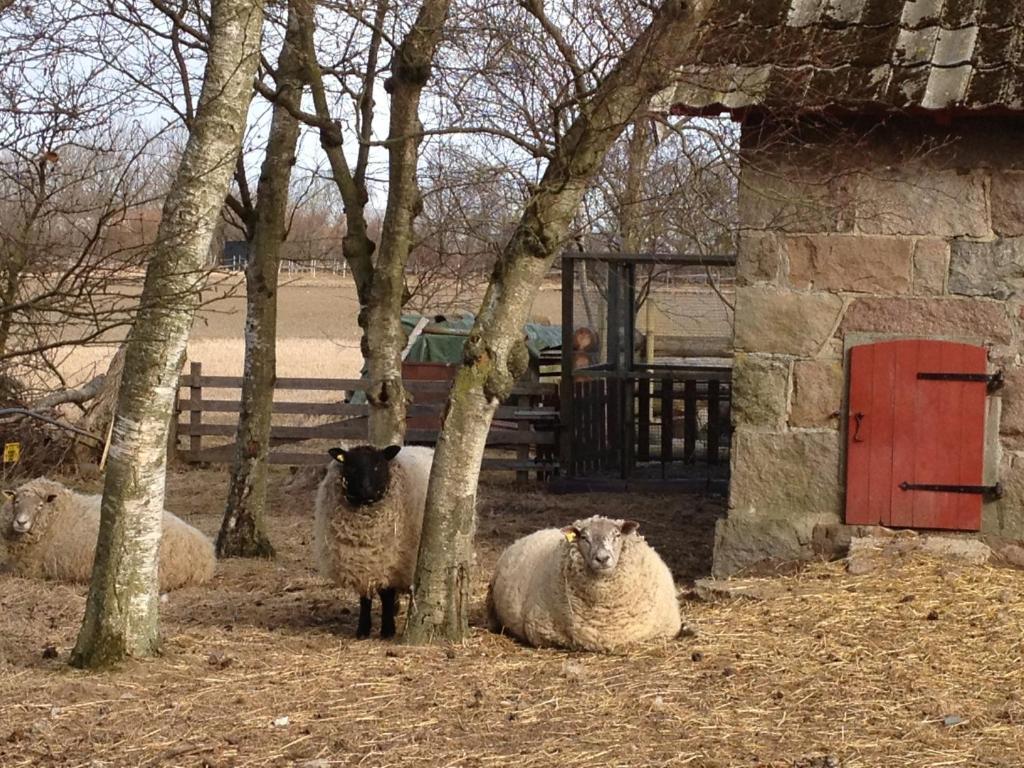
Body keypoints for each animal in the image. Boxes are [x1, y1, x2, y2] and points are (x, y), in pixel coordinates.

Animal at [0, 479, 214, 593]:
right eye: (16, 501)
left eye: (39, 505)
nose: (20, 522)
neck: (55, 517)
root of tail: (206, 551)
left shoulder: (28, 567)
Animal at [315, 442, 436, 638]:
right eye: (351, 466)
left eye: (378, 466)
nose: (366, 490)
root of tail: (426, 448)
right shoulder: (361, 564)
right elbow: (365, 597)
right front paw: (363, 629)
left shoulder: (390, 562)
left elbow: (386, 594)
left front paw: (387, 629)